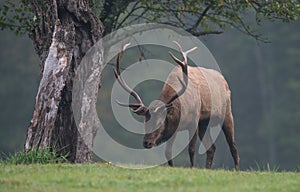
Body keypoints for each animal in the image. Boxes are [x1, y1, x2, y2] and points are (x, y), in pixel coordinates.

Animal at [113, 41, 240, 170]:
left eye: (160, 122)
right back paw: (207, 169)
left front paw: (192, 168)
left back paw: (236, 169)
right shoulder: (174, 126)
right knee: (211, 148)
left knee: (233, 146)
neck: (181, 111)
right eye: (145, 121)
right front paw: (172, 167)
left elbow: (191, 149)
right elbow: (168, 152)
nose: (147, 143)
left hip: (227, 113)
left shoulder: (194, 121)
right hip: (204, 123)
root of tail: (224, 80)